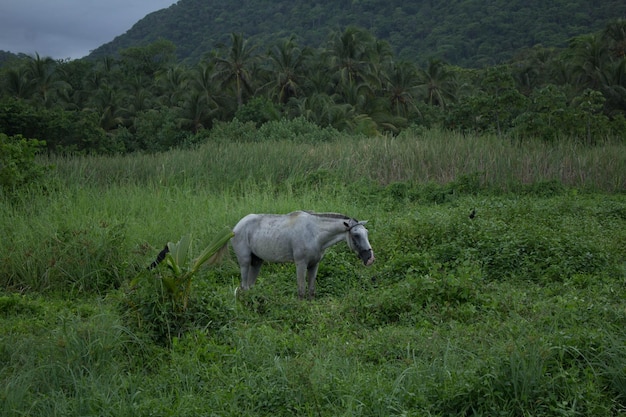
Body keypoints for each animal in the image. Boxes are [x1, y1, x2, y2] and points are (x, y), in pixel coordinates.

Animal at [227, 211, 370, 300]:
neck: (314, 233)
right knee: (244, 286)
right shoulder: (301, 264)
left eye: (366, 232)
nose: (370, 258)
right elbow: (301, 290)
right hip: (245, 262)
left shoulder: (314, 264)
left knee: (249, 286)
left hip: (257, 262)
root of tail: (236, 227)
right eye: (356, 235)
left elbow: (311, 290)